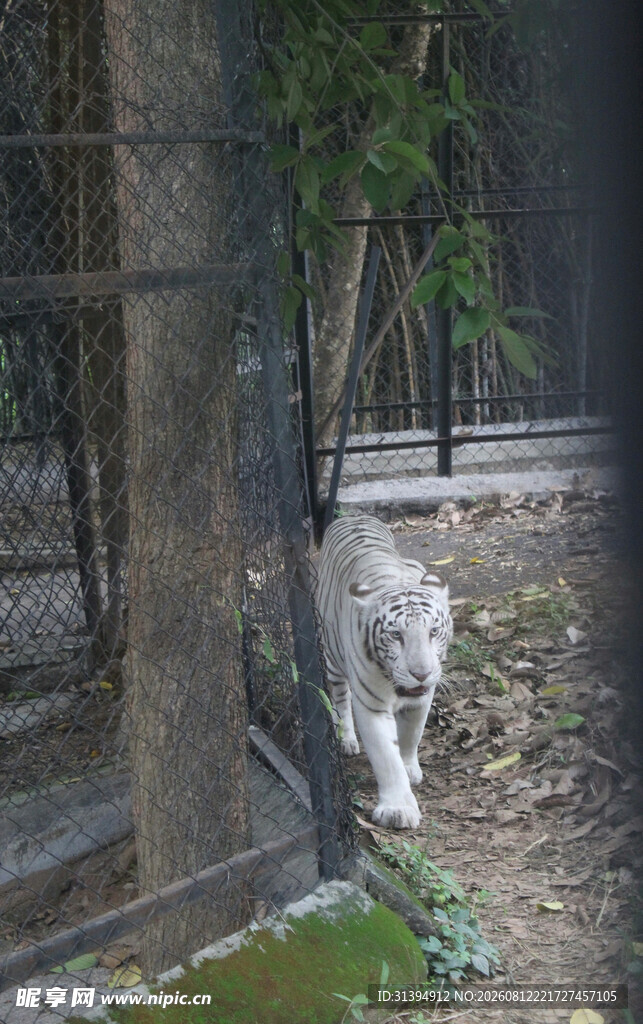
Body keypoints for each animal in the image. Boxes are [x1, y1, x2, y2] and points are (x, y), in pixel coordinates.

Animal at [316, 514, 453, 829]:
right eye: (395, 635)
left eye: (434, 631)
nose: (421, 673)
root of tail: (353, 516)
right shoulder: (371, 705)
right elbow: (386, 757)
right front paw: (398, 809)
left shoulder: (422, 698)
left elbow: (411, 734)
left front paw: (410, 767)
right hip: (333, 661)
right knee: (341, 701)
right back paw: (347, 740)